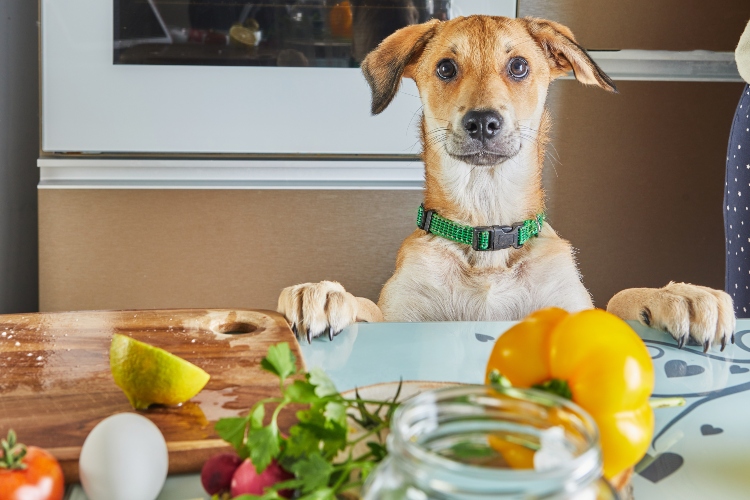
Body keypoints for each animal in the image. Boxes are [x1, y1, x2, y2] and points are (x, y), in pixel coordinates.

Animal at [280, 16, 736, 356]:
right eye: (445, 68)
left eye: (518, 66)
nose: (483, 122)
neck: (486, 235)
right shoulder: (401, 315)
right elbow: (368, 309)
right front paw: (325, 293)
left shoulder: (569, 306)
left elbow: (615, 300)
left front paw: (675, 296)